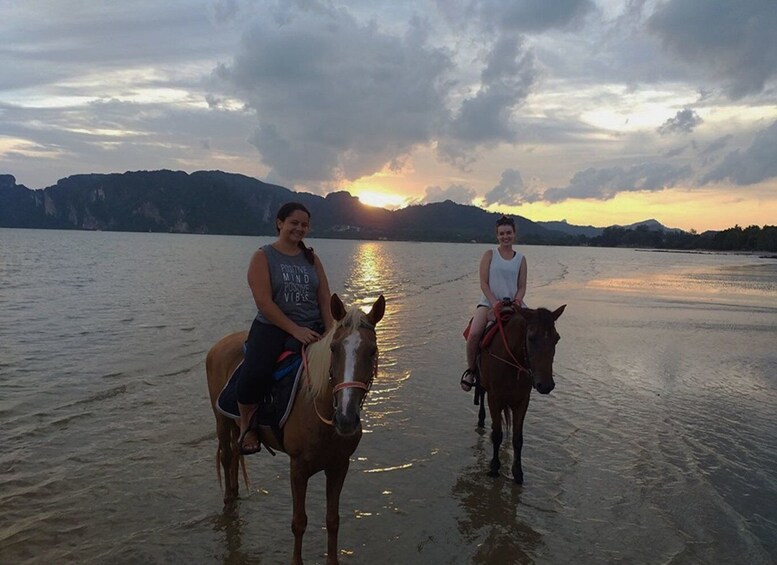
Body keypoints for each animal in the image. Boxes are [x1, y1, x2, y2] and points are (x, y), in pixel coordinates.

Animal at [206, 294, 384, 560]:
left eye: (371, 350)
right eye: (333, 348)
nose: (345, 418)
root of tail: (220, 345)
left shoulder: (339, 466)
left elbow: (333, 520)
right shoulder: (298, 468)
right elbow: (299, 522)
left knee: (236, 454)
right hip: (221, 419)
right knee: (227, 456)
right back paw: (229, 502)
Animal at [476, 302, 560, 482]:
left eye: (557, 338)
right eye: (531, 338)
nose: (546, 385)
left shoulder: (522, 400)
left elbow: (517, 438)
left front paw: (518, 472)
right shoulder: (494, 398)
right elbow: (497, 434)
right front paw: (494, 467)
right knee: (480, 394)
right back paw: (481, 419)